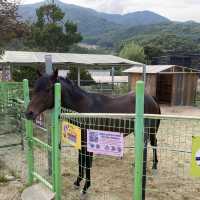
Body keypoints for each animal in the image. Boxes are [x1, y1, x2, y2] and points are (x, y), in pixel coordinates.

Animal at [25, 69, 161, 197]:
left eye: (48, 89)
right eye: (34, 89)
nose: (29, 113)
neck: (83, 107)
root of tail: (151, 98)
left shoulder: (88, 142)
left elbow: (87, 163)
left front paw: (85, 188)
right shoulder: (81, 140)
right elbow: (81, 161)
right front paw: (77, 182)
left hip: (150, 130)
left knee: (154, 143)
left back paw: (154, 166)